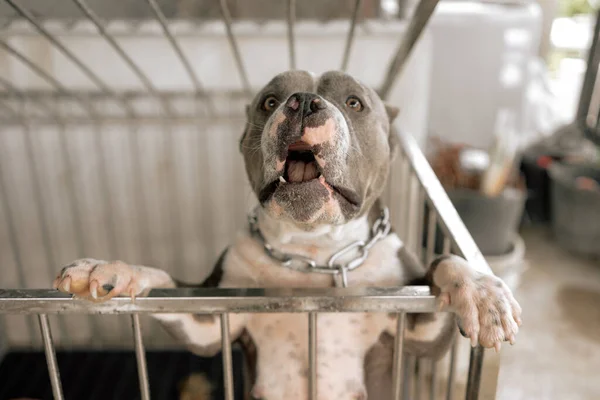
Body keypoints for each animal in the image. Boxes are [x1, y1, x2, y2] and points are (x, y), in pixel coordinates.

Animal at [52, 70, 520, 398]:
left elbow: (444, 262)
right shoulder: (210, 322)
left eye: (354, 102)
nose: (305, 102)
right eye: (270, 101)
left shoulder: (418, 333)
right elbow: (168, 284)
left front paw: (481, 291)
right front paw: (113, 269)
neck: (313, 250)